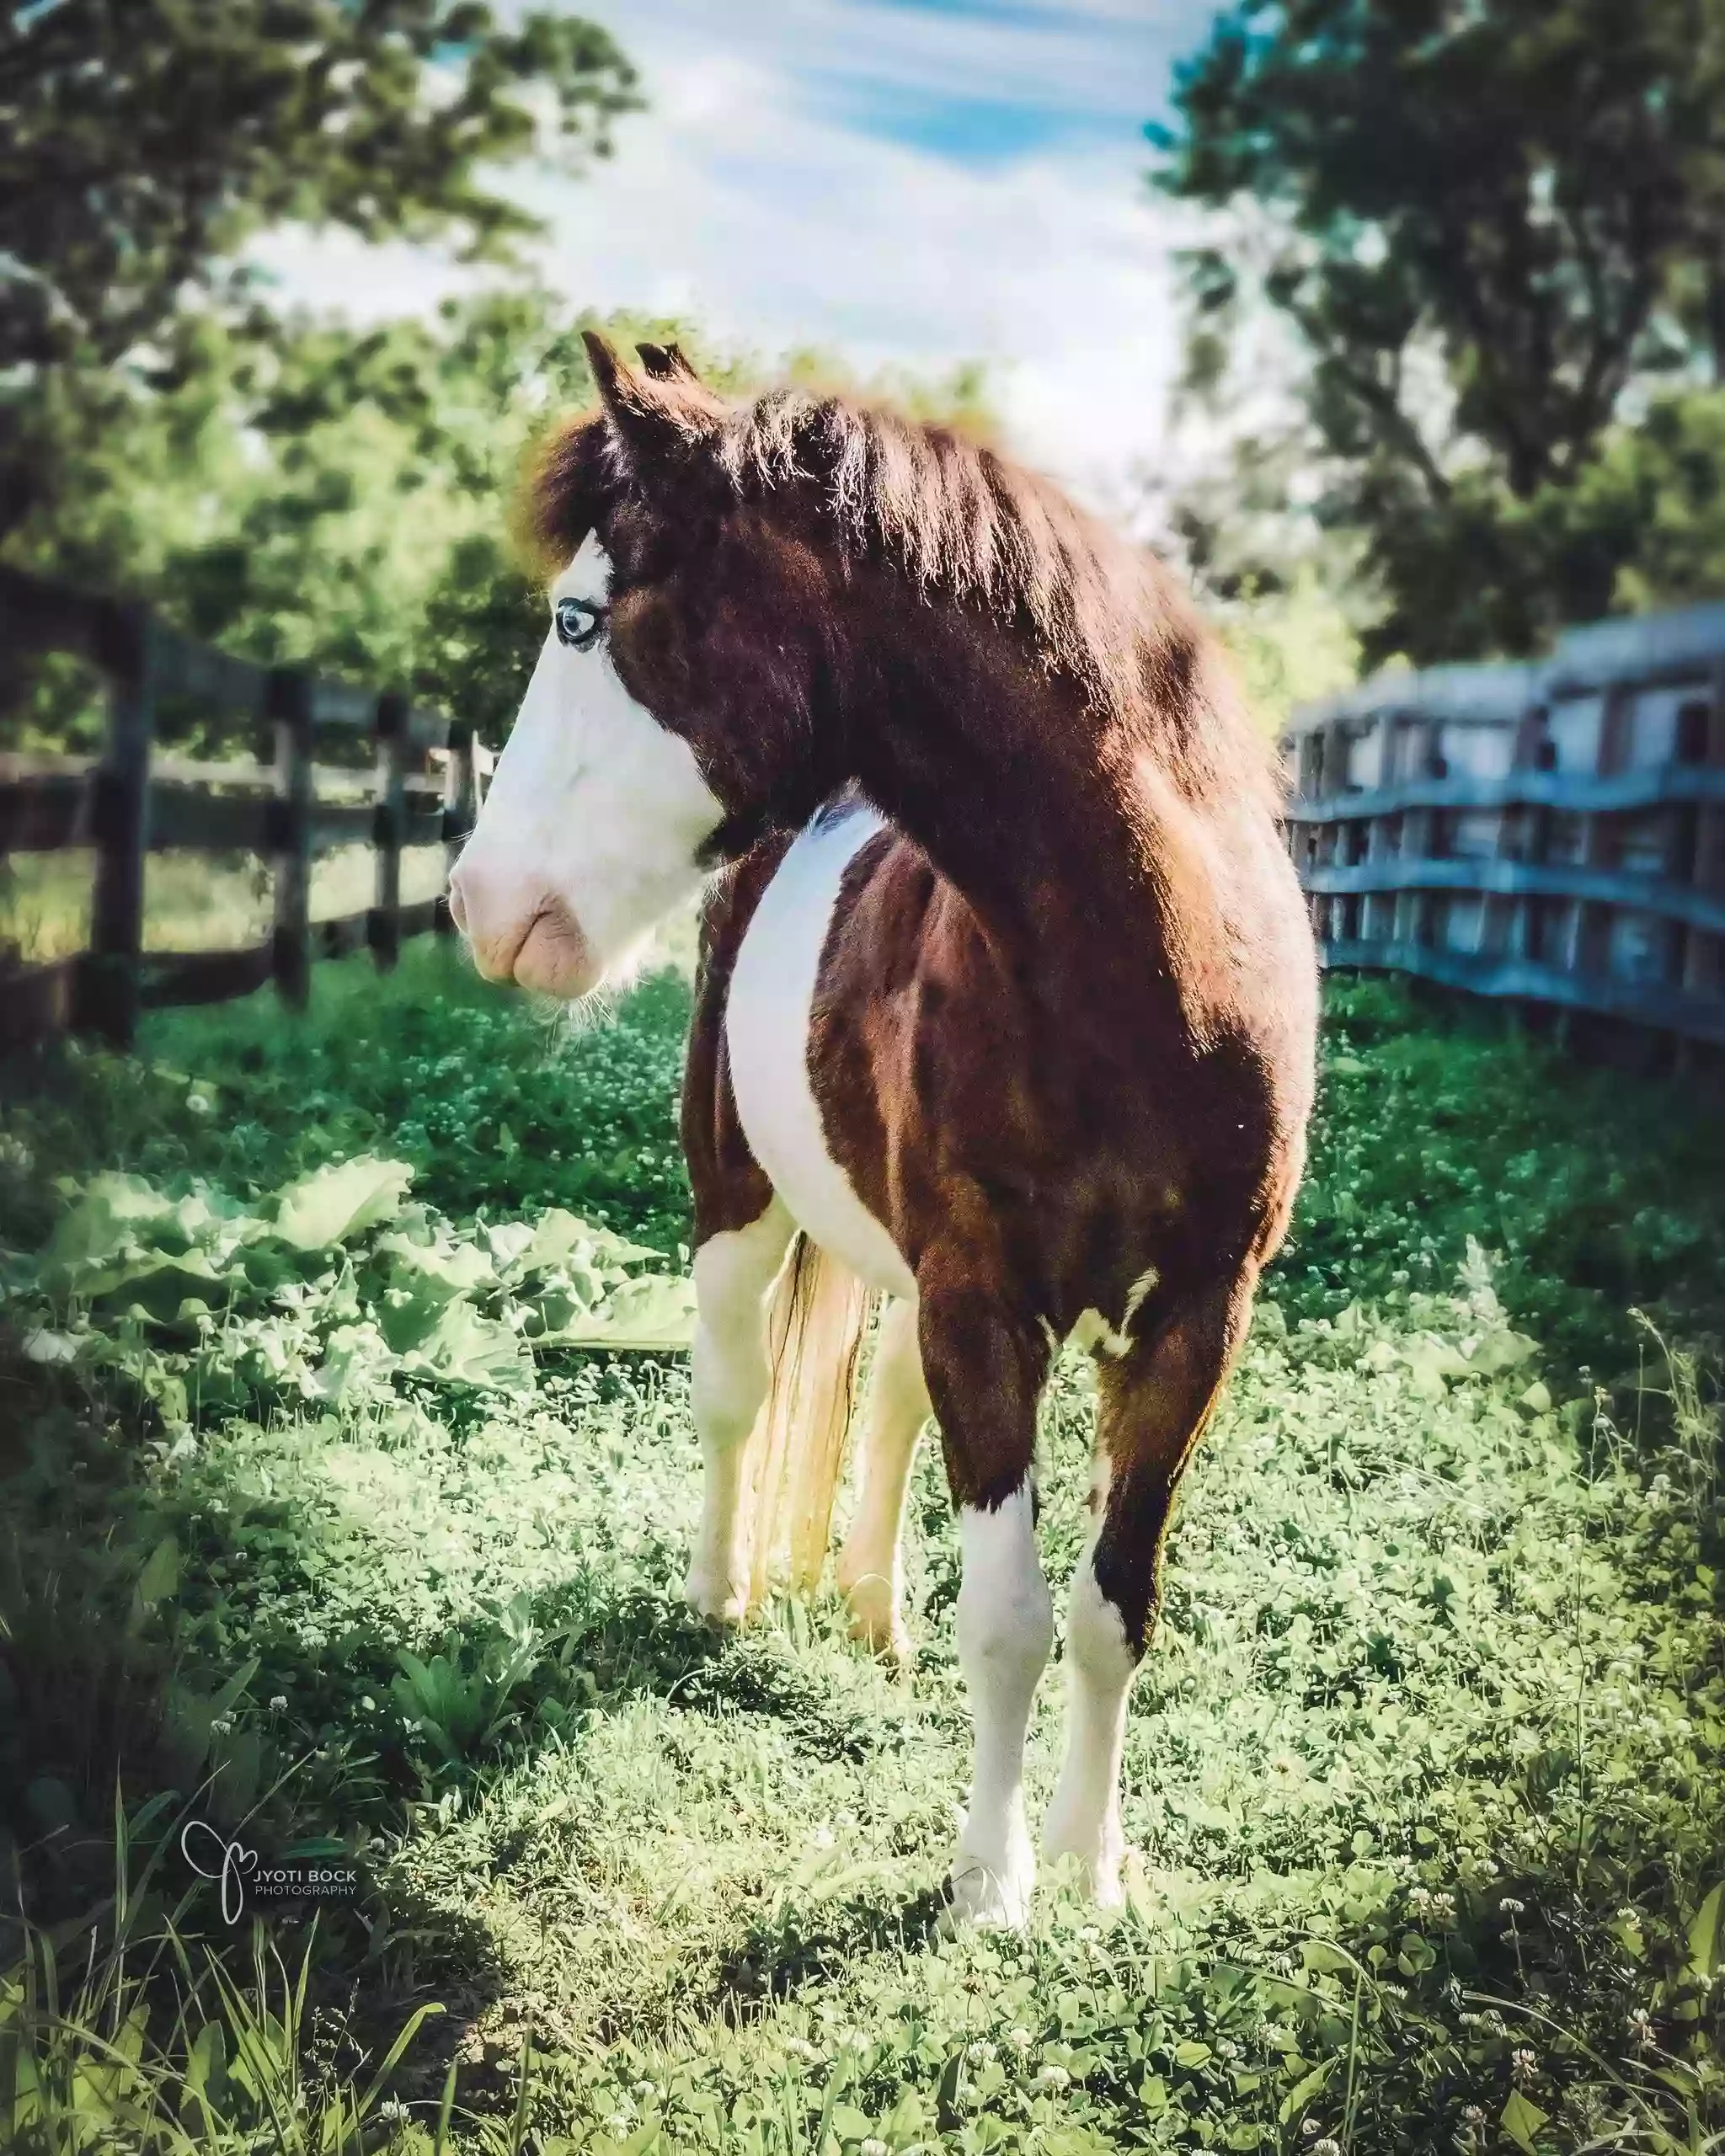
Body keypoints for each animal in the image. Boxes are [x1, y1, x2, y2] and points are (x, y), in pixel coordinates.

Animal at [448, 332, 1319, 1923]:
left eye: (579, 619)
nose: (480, 907)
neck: (1145, 980)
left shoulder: (1189, 1324)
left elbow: (1112, 1608)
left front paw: (1094, 1870)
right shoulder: (984, 1304)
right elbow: (1013, 1620)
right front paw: (993, 1886)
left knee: (888, 1407)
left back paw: (869, 1611)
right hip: (737, 1204)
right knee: (734, 1394)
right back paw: (726, 1595)